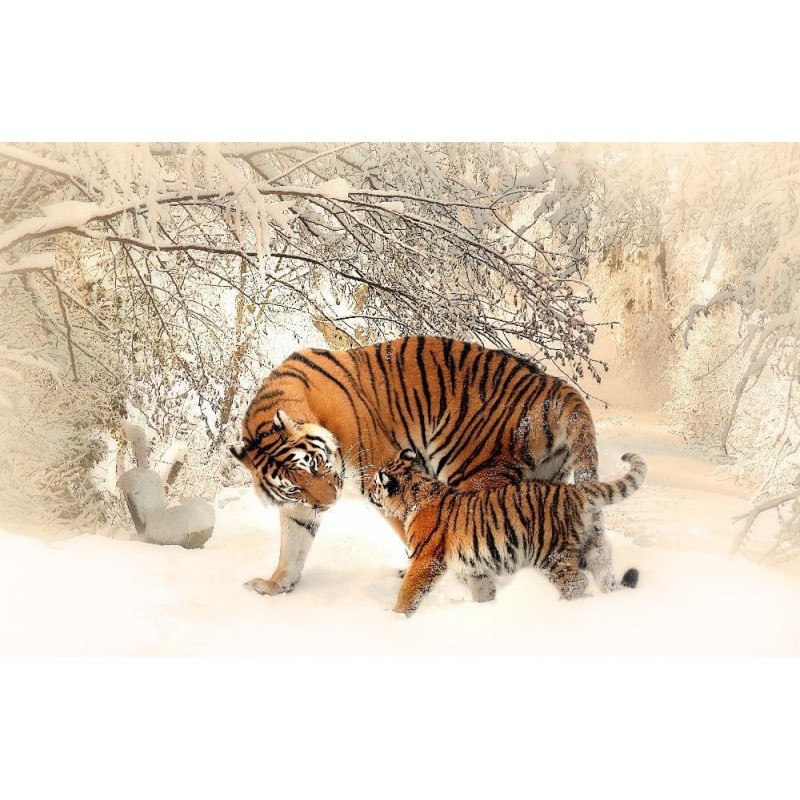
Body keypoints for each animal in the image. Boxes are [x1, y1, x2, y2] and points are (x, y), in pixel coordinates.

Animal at [230, 336, 609, 598]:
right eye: (294, 486)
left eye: (315, 465)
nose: (329, 502)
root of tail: (553, 384)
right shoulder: (299, 507)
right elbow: (292, 546)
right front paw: (275, 585)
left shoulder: (382, 473)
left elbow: (414, 530)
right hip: (544, 479)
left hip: (475, 473)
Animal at [369, 449, 646, 616]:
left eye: (375, 484)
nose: (369, 492)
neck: (417, 494)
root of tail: (575, 490)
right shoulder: (476, 568)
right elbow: (483, 591)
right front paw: (487, 610)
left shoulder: (425, 560)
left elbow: (409, 591)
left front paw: (396, 617)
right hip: (592, 546)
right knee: (604, 572)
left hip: (551, 553)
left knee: (576, 582)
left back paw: (560, 608)